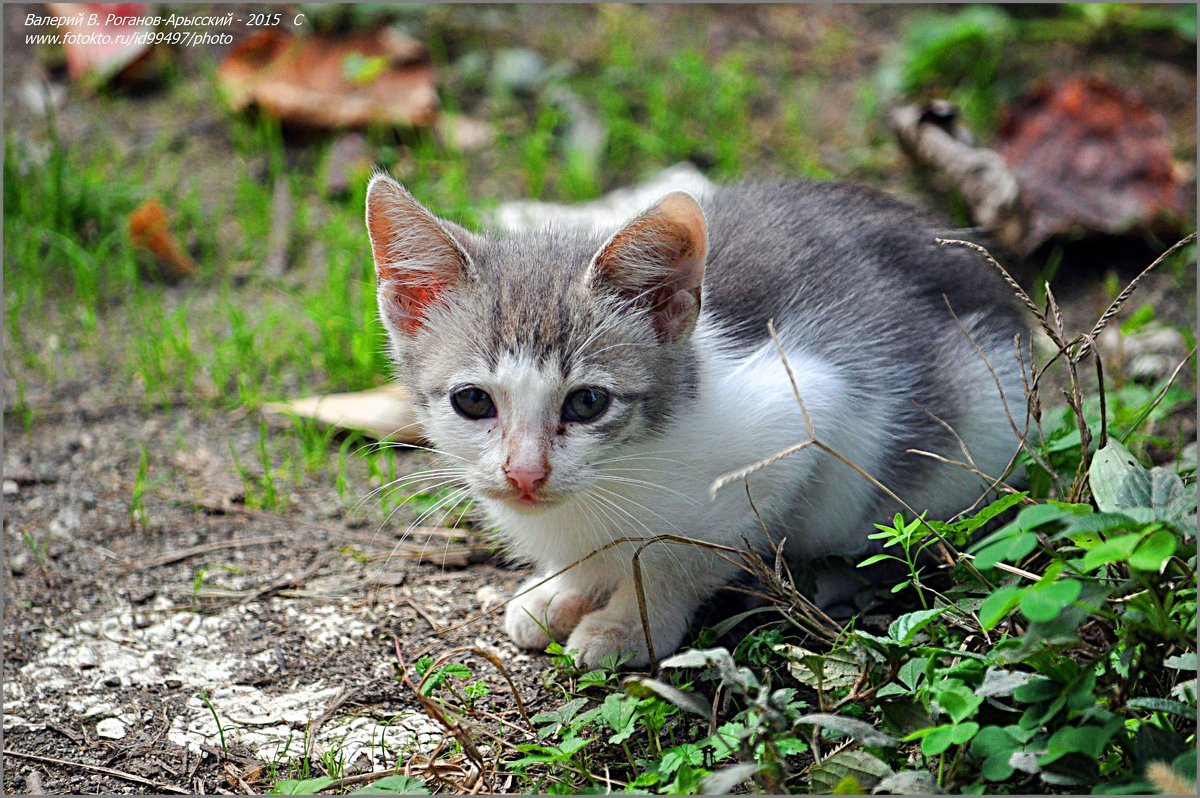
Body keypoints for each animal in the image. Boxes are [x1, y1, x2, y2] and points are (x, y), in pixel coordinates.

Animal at [362, 172, 1022, 667]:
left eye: (587, 403)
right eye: (473, 401)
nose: (525, 474)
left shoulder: (803, 418)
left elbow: (683, 558)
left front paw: (627, 625)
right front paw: (560, 591)